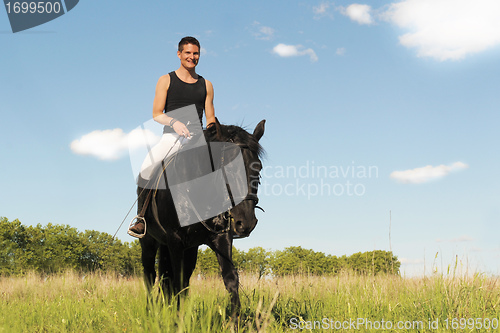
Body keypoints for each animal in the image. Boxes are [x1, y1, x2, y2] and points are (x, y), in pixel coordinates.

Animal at [138, 118, 266, 318]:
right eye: (228, 166)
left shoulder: (220, 238)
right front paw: (178, 320)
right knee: (150, 275)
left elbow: (231, 279)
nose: (246, 223)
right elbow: (177, 282)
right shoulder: (175, 240)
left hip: (188, 248)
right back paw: (151, 313)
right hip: (149, 242)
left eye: (258, 167)